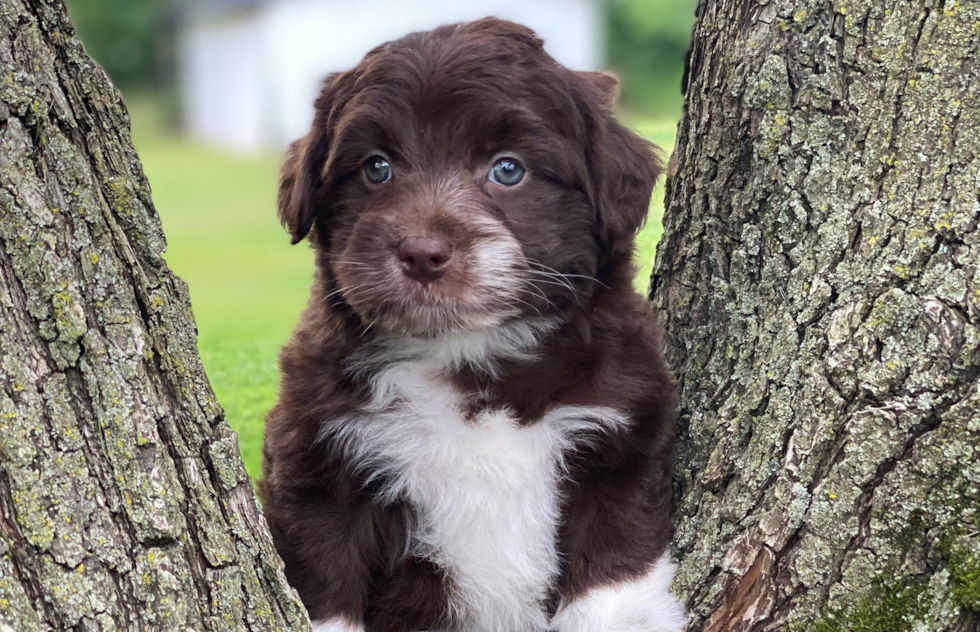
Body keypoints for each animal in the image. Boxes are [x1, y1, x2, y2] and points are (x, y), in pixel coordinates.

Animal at [260, 18, 688, 632]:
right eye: (376, 168)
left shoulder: (620, 437)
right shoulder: (319, 460)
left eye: (508, 169)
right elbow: (327, 589)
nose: (422, 252)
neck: (467, 357)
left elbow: (611, 582)